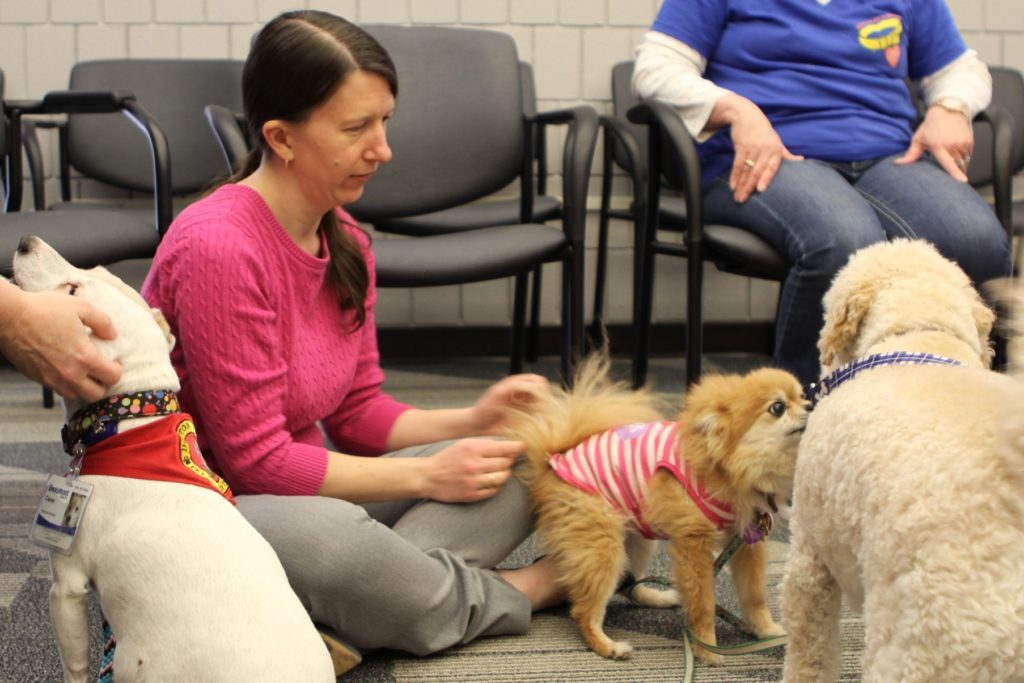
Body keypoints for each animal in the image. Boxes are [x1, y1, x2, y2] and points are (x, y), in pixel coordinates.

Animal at [14, 237, 333, 683]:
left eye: (73, 291)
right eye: (92, 270)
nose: (26, 242)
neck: (128, 422)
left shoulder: (66, 583)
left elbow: (74, 667)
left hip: (133, 660)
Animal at [503, 356, 806, 663]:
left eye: (803, 394)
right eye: (778, 408)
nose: (810, 406)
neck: (731, 467)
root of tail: (554, 458)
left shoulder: (746, 539)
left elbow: (754, 595)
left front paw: (767, 631)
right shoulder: (693, 544)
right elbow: (703, 603)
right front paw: (706, 649)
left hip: (636, 538)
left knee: (630, 586)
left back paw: (659, 597)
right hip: (604, 546)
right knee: (584, 610)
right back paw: (607, 645)